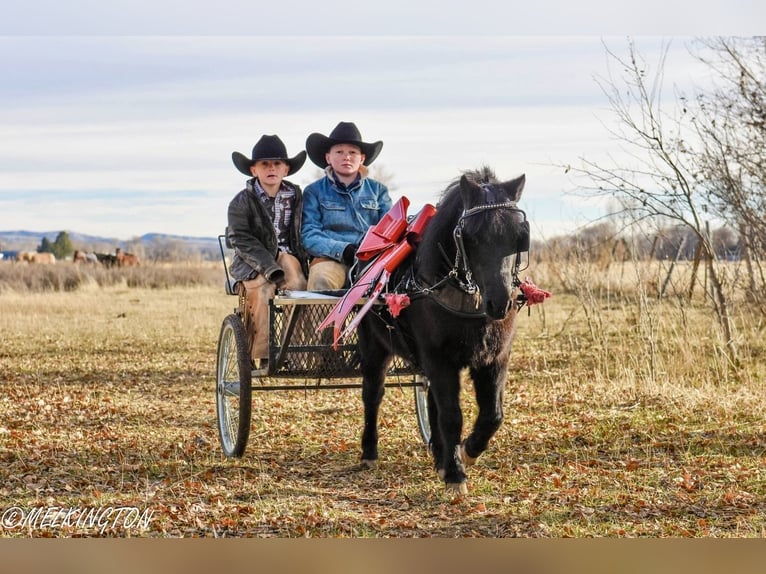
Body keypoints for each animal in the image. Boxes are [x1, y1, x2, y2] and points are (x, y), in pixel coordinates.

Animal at [356, 166, 532, 496]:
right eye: (471, 236)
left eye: (519, 236)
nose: (500, 302)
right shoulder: (439, 358)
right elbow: (451, 415)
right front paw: (455, 475)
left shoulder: (495, 357)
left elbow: (492, 414)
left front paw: (466, 452)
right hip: (375, 348)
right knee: (372, 395)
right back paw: (369, 452)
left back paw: (440, 455)